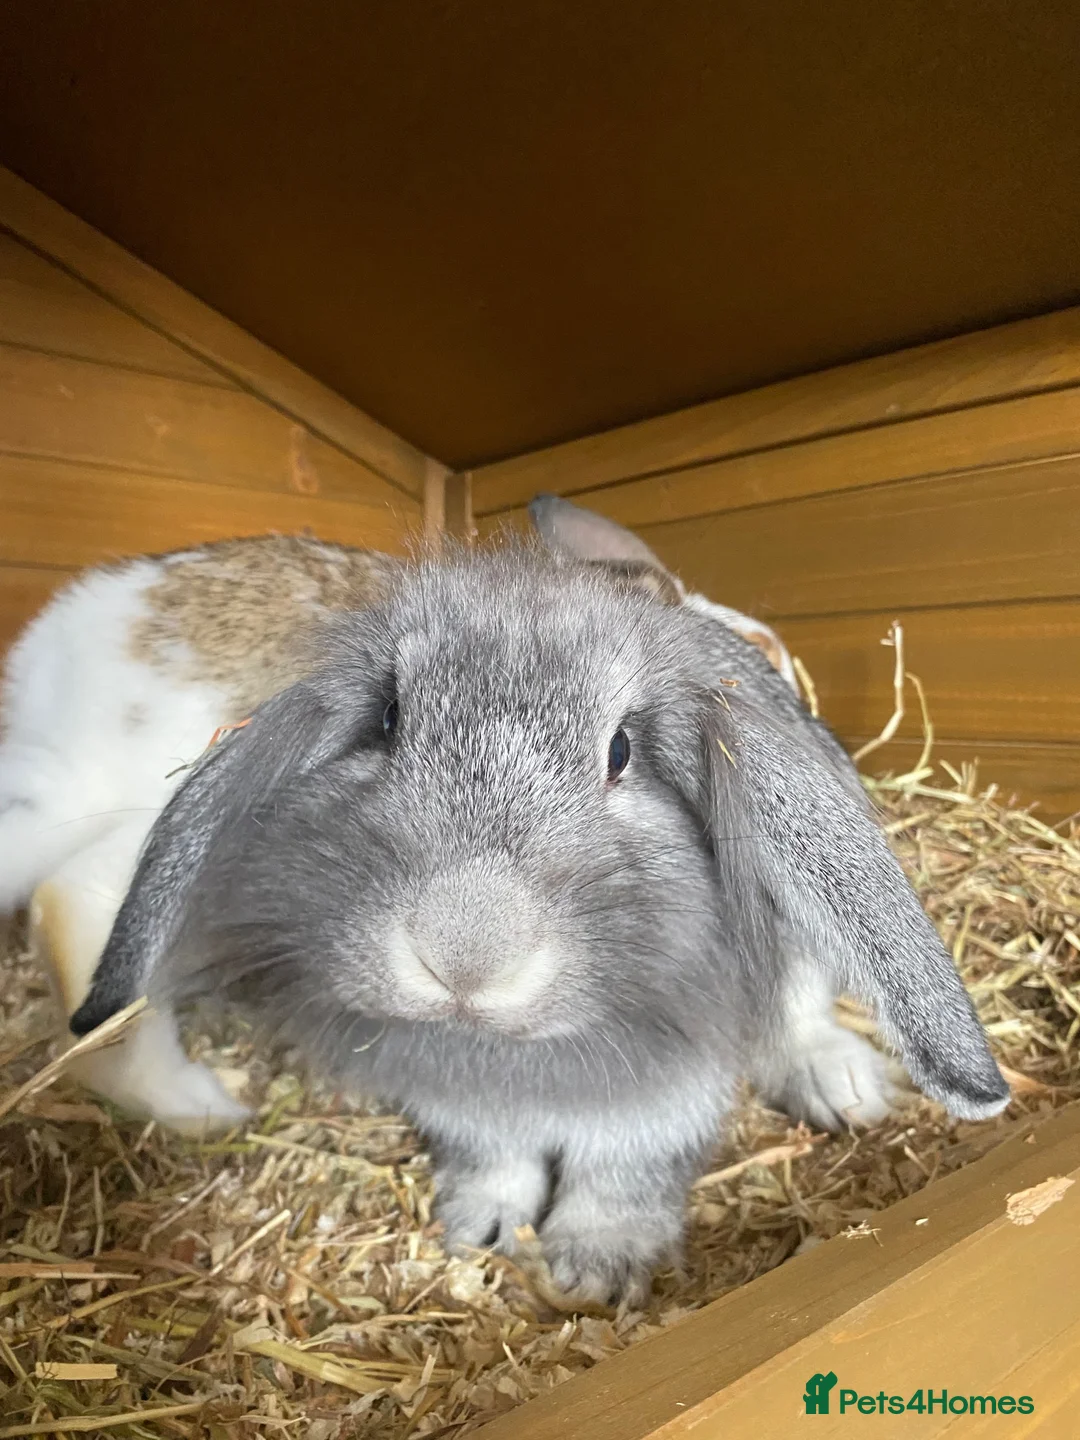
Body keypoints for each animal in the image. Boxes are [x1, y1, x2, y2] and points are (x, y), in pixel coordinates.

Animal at [34, 506, 1009, 1304]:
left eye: (622, 752)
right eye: (386, 722)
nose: (464, 954)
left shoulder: (673, 1071)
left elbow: (628, 1160)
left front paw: (593, 1267)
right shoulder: (465, 1100)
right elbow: (496, 1156)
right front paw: (482, 1229)